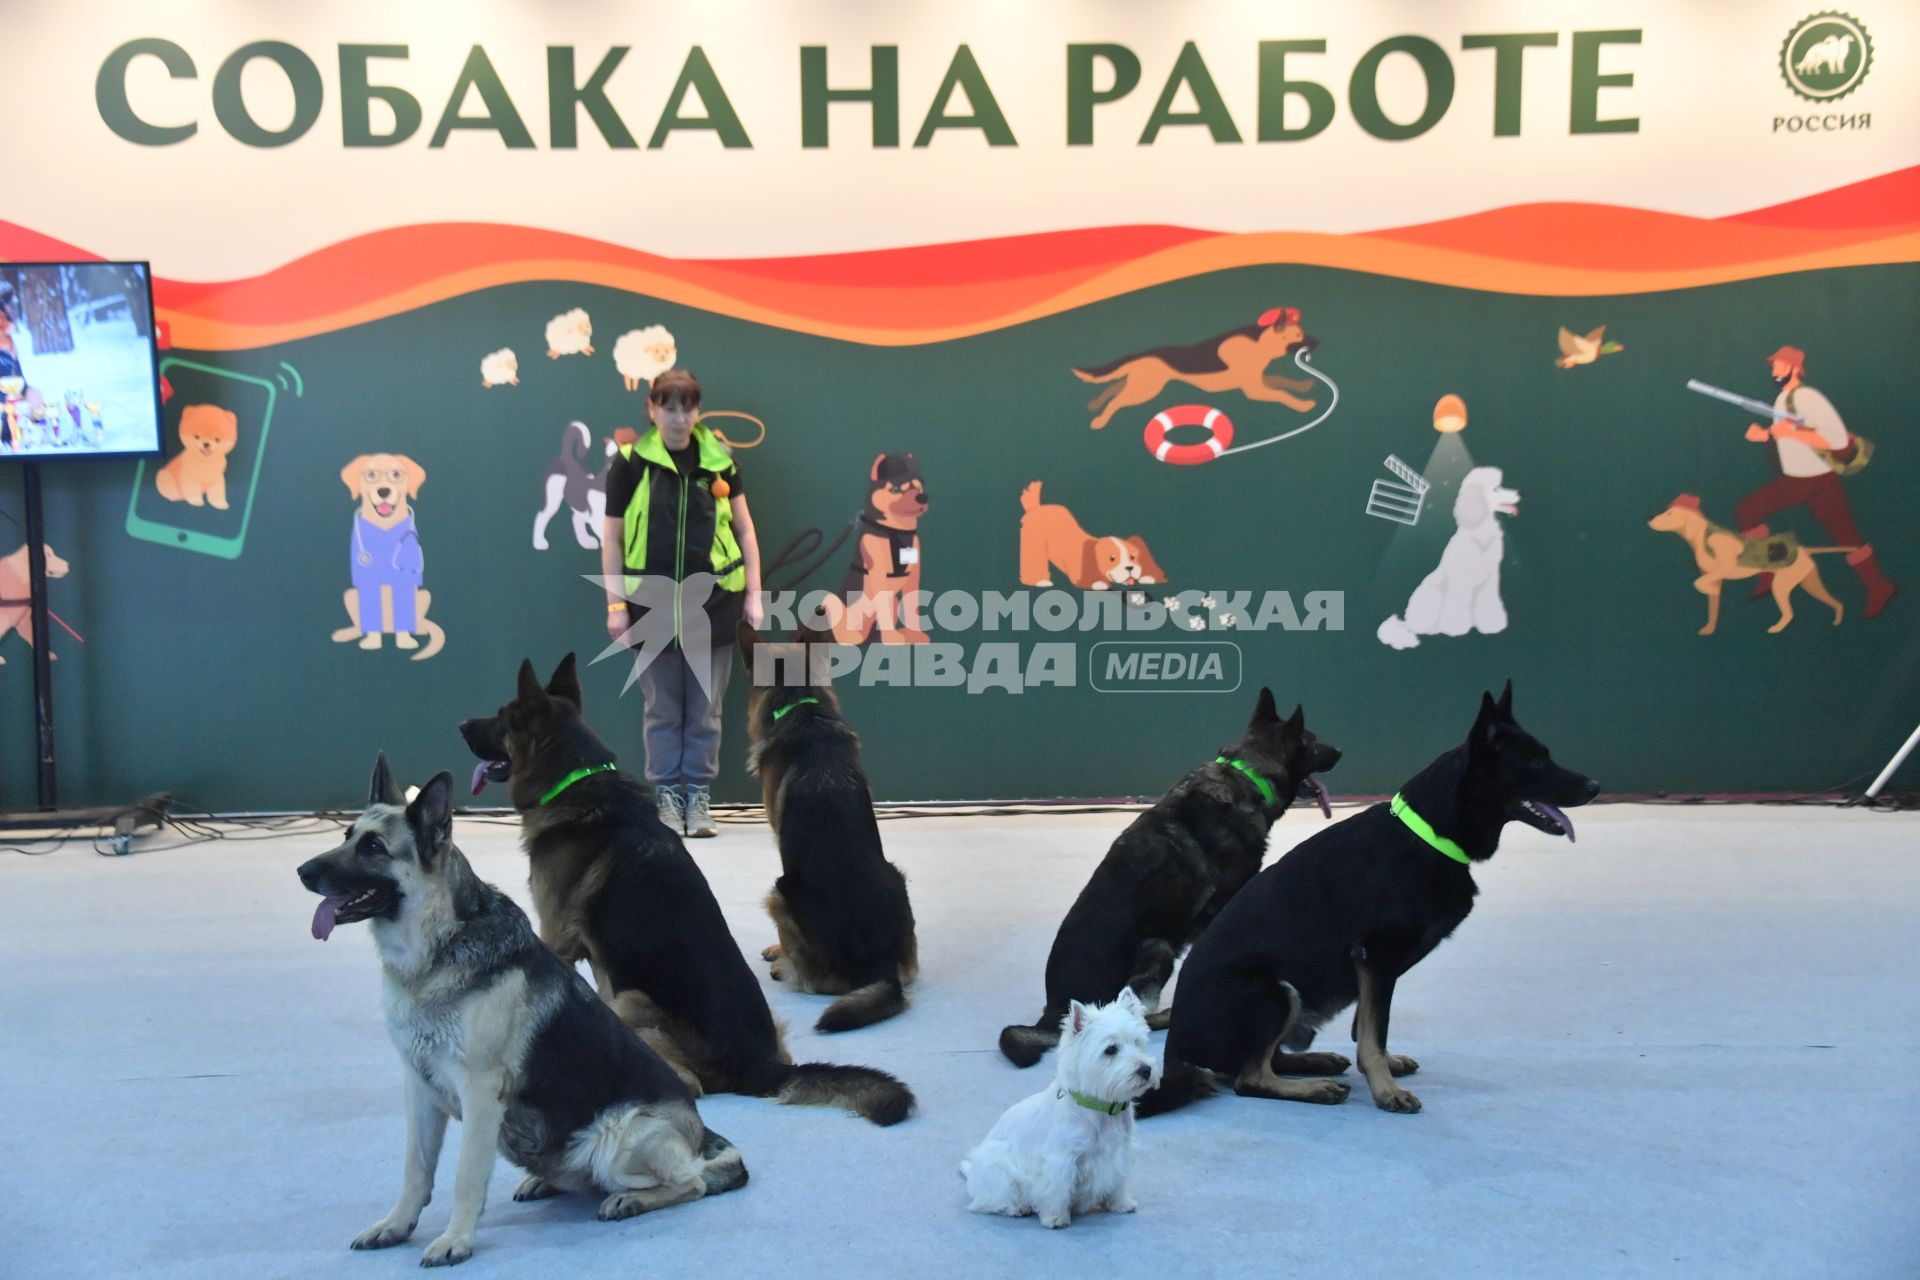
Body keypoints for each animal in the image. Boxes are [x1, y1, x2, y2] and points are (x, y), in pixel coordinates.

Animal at [295, 756, 744, 1266]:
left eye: (373, 847)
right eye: (346, 835)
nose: (302, 871)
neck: (439, 944)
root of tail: (698, 1130)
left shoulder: (478, 1094)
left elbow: (465, 1177)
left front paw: (457, 1239)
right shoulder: (421, 1092)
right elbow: (416, 1170)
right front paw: (396, 1225)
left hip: (615, 1139)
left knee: (691, 1182)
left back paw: (629, 1199)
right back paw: (545, 1181)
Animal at [960, 990, 1152, 1228]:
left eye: (1137, 1041)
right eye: (1110, 1050)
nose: (1146, 1069)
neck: (1099, 1107)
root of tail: (972, 1172)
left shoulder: (1120, 1153)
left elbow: (1118, 1182)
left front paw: (1122, 1203)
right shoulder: (1062, 1161)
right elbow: (1057, 1191)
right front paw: (1055, 1218)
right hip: (997, 1169)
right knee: (989, 1201)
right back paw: (1017, 1208)